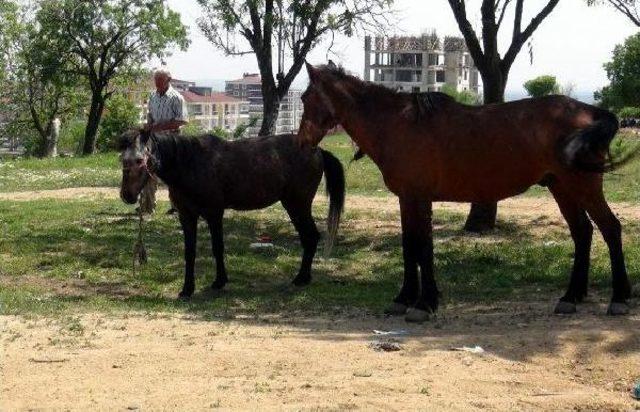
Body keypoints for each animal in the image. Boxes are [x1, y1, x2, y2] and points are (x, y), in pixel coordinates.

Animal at [117, 130, 342, 298]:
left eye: (139, 160)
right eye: (122, 159)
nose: (127, 195)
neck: (190, 163)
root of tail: (317, 150)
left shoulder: (214, 213)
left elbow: (218, 247)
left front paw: (219, 282)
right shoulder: (187, 216)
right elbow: (190, 252)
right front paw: (187, 289)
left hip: (298, 205)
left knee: (310, 237)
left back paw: (301, 279)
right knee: (309, 238)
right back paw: (303, 278)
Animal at [298, 61, 632, 322]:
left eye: (304, 97)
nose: (302, 142)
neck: (398, 124)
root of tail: (589, 111)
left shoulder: (420, 198)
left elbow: (423, 247)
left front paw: (424, 304)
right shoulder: (407, 199)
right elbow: (409, 246)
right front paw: (405, 298)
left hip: (582, 185)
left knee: (610, 228)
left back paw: (619, 298)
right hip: (561, 187)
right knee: (583, 232)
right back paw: (570, 297)